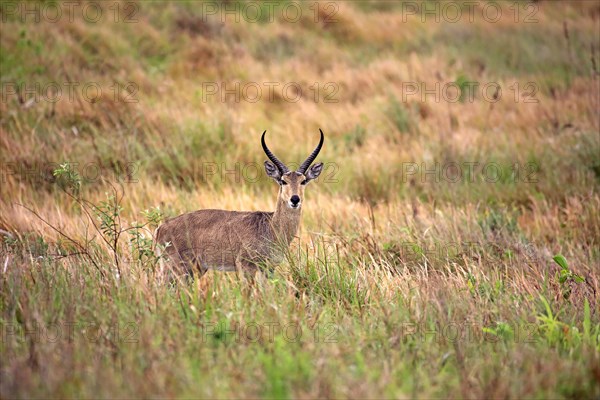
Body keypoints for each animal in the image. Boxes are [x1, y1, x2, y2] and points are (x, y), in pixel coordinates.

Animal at [155, 129, 324, 278]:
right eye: (283, 181)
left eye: (303, 181)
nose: (295, 199)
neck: (271, 227)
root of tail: (160, 228)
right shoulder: (246, 267)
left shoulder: (268, 269)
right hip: (176, 268)